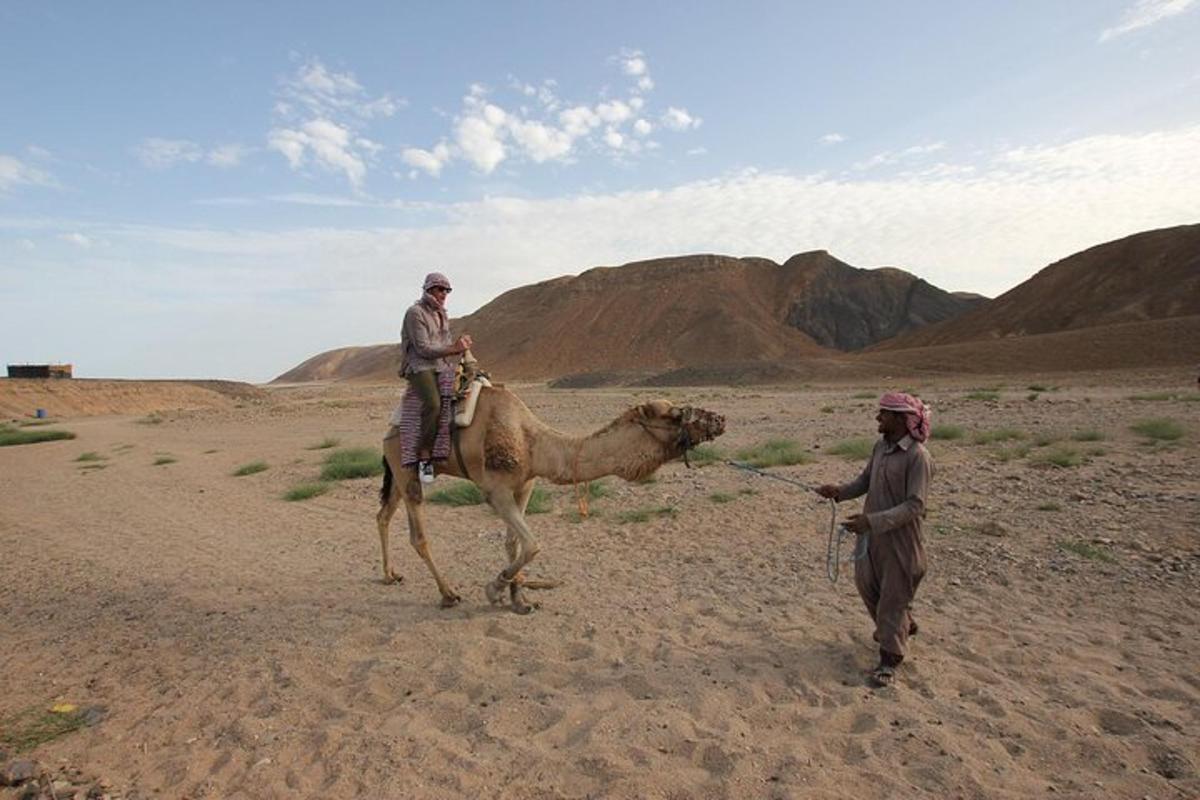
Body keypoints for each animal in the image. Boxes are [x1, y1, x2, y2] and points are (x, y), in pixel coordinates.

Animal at [379, 386, 724, 614]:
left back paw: (390, 575)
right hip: (405, 467)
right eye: (675, 414)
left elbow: (514, 543)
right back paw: (448, 593)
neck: (533, 444)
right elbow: (533, 545)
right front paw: (495, 589)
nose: (719, 419)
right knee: (418, 535)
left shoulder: (525, 485)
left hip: (397, 471)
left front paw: (520, 600)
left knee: (384, 514)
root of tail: (390, 427)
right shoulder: (495, 490)